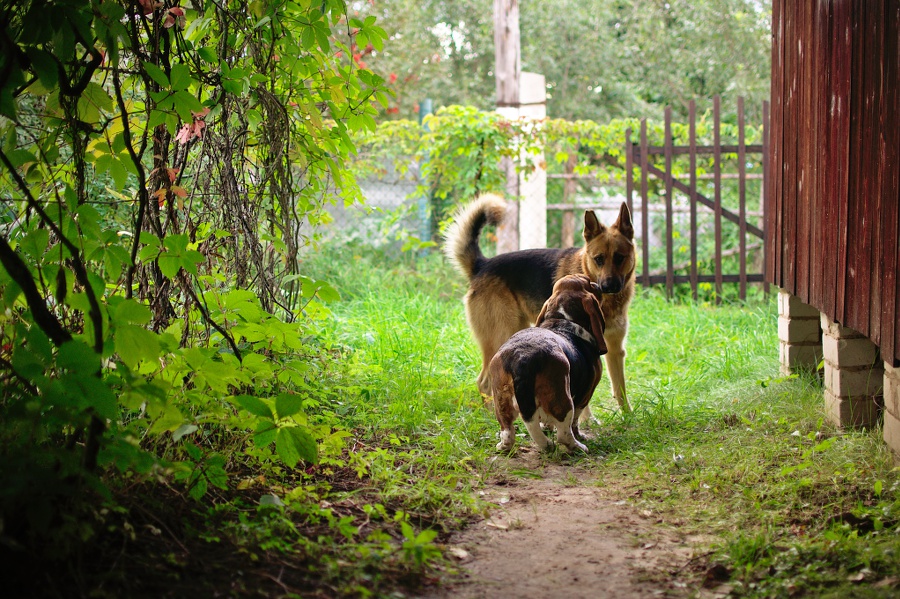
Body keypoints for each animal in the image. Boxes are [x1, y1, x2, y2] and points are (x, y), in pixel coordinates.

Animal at [442, 195, 632, 414]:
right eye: (598, 259)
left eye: (620, 258)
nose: (608, 287)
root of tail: (482, 265)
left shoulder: (615, 350)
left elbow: (620, 389)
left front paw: (628, 417)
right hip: (500, 335)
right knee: (484, 382)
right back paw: (491, 415)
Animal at [488, 274, 608, 452]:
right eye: (588, 283)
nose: (598, 285)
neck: (562, 320)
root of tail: (522, 357)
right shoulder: (585, 395)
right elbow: (576, 421)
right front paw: (579, 435)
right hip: (564, 401)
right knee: (564, 433)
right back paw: (577, 446)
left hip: (501, 400)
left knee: (507, 431)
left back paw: (504, 446)